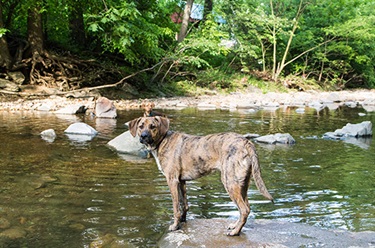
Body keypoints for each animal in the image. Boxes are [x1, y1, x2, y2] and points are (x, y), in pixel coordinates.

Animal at [129, 116, 274, 236]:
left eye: (153, 126)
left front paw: (175, 226)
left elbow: (176, 207)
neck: (162, 141)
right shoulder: (181, 181)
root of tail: (246, 142)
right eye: (141, 126)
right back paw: (235, 226)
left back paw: (235, 232)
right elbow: (184, 204)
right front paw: (183, 221)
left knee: (244, 210)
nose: (143, 136)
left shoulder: (172, 180)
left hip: (230, 182)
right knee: (247, 207)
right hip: (242, 183)